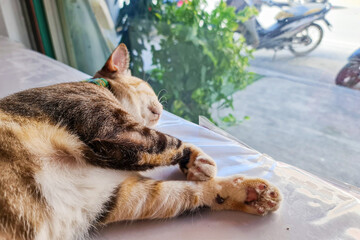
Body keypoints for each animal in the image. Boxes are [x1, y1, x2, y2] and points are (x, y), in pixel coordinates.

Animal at [0, 44, 282, 239]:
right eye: (148, 85)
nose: (162, 107)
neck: (98, 85)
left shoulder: (114, 197)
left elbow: (190, 191)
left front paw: (250, 193)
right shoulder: (117, 131)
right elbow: (172, 142)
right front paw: (197, 160)